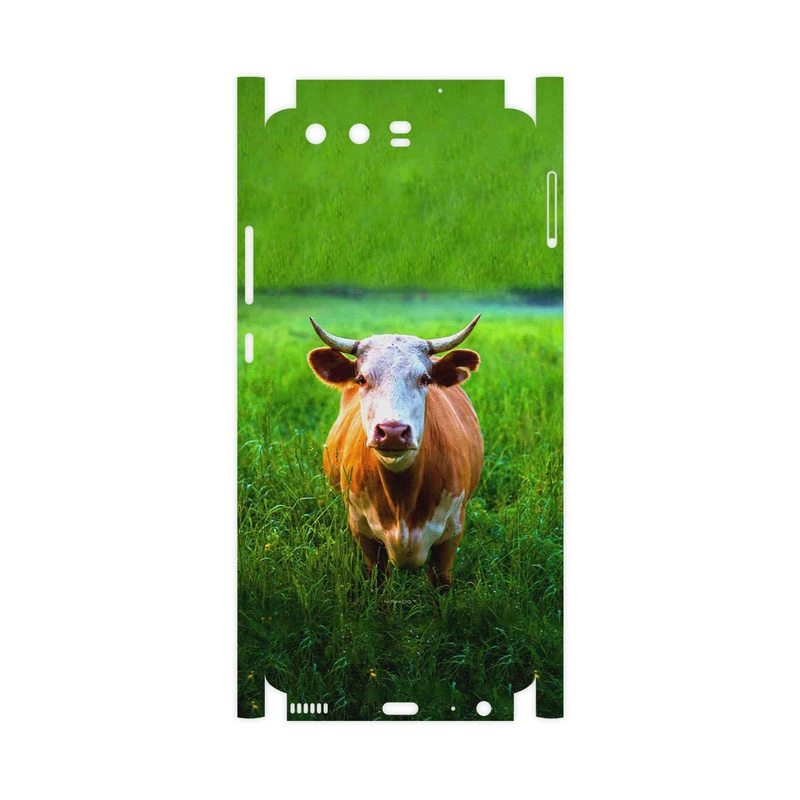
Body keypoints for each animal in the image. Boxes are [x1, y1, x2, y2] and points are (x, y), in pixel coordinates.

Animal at [307, 315, 484, 591]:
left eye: (425, 379)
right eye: (361, 379)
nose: (392, 431)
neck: (403, 499)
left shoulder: (451, 535)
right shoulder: (364, 533)